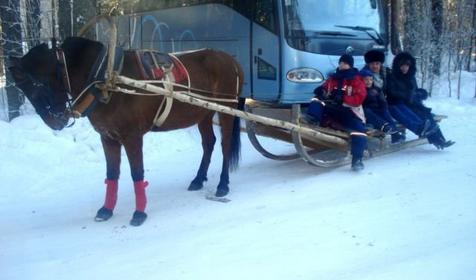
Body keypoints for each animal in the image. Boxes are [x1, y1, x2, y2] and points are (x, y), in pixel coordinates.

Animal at [9, 36, 244, 225]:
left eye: (36, 85)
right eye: (21, 88)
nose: (54, 122)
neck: (105, 80)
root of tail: (231, 59)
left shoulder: (132, 137)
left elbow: (136, 173)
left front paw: (139, 213)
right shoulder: (107, 137)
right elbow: (112, 173)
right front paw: (106, 209)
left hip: (225, 109)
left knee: (225, 144)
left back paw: (223, 184)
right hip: (203, 113)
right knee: (208, 143)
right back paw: (198, 178)